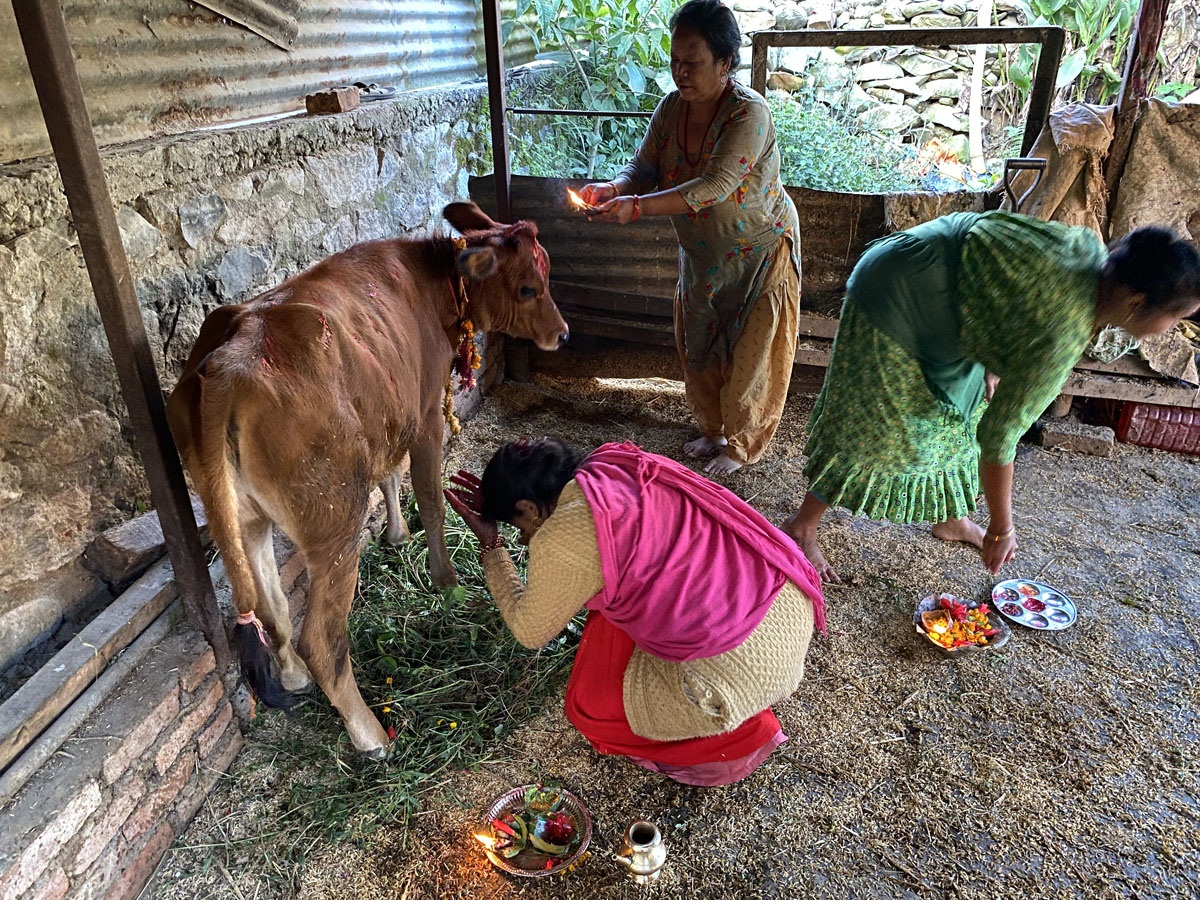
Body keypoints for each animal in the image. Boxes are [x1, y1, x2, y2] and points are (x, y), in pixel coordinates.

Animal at [165, 202, 571, 753]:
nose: (563, 333)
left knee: (272, 605)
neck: (433, 282)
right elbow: (428, 496)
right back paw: (372, 736)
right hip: (333, 517)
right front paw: (447, 581)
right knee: (322, 638)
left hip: (245, 515)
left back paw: (294, 675)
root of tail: (228, 366)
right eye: (530, 287)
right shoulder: (424, 412)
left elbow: (389, 476)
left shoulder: (387, 409)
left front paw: (397, 535)